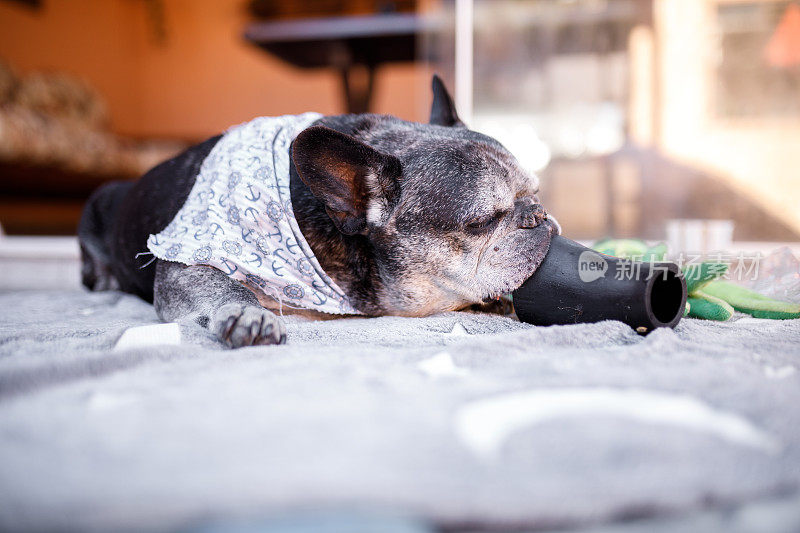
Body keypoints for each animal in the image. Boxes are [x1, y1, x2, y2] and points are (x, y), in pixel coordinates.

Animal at [78, 76, 560, 350]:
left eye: (536, 192)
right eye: (481, 223)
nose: (538, 216)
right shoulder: (186, 261)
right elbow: (227, 289)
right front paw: (250, 314)